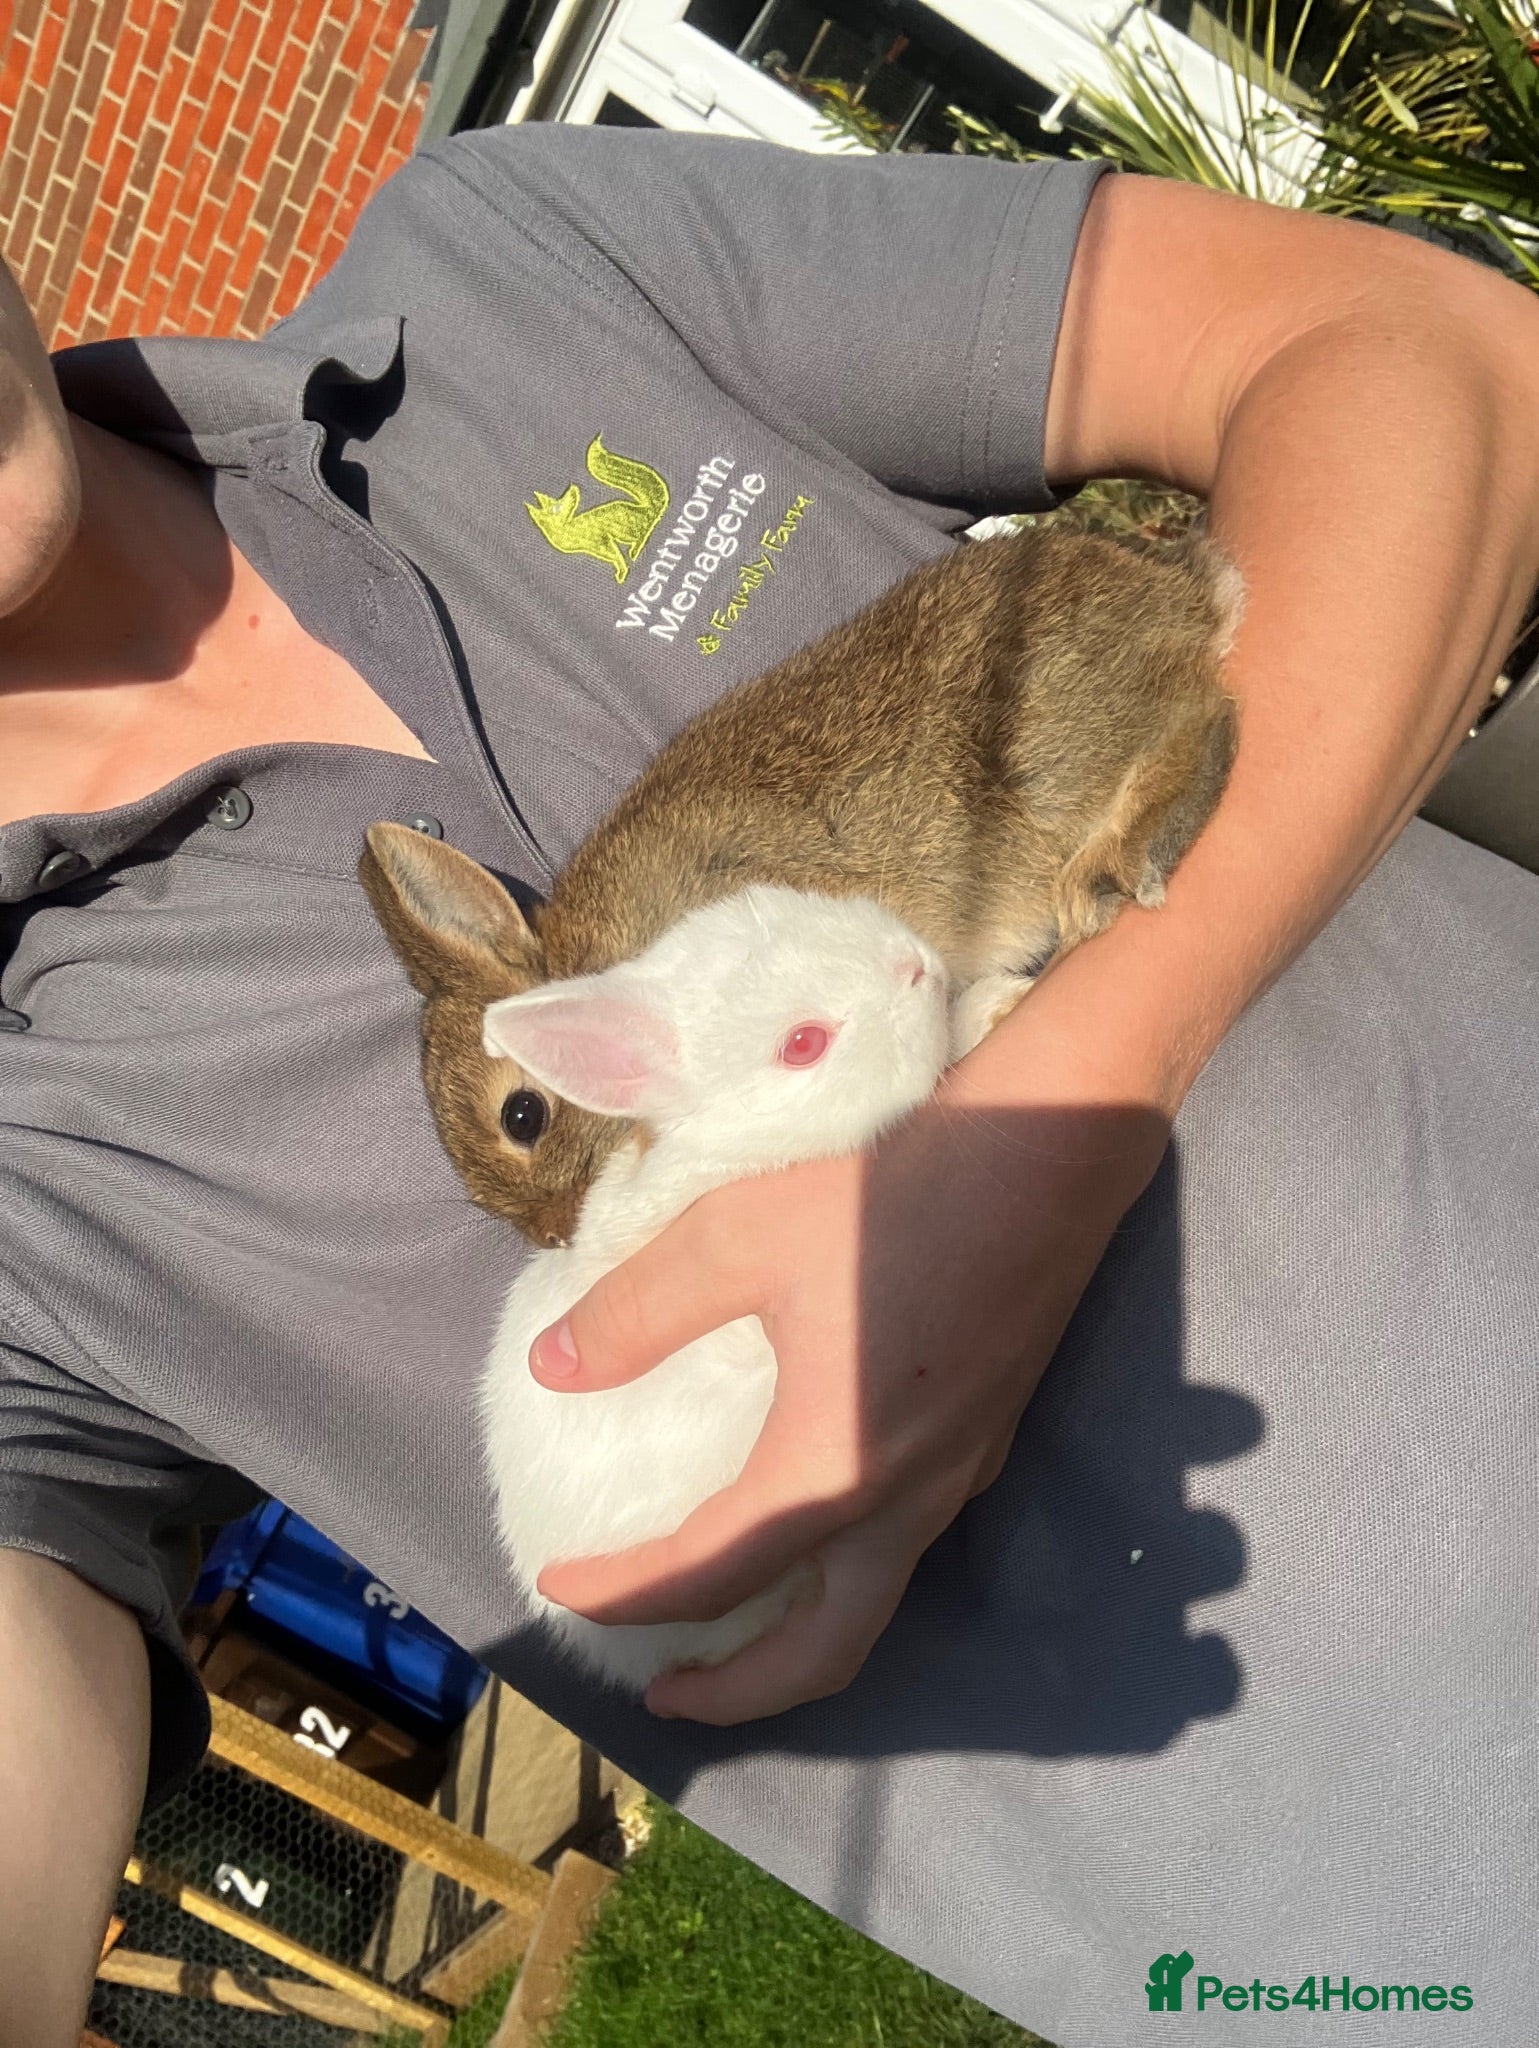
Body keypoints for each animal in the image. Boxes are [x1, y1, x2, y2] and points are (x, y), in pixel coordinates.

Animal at [359, 524, 1243, 1250]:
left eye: (523, 1116)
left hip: (1045, 757)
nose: (555, 1233)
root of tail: (1181, 594)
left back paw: (1111, 869)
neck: (610, 957)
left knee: (1207, 719)